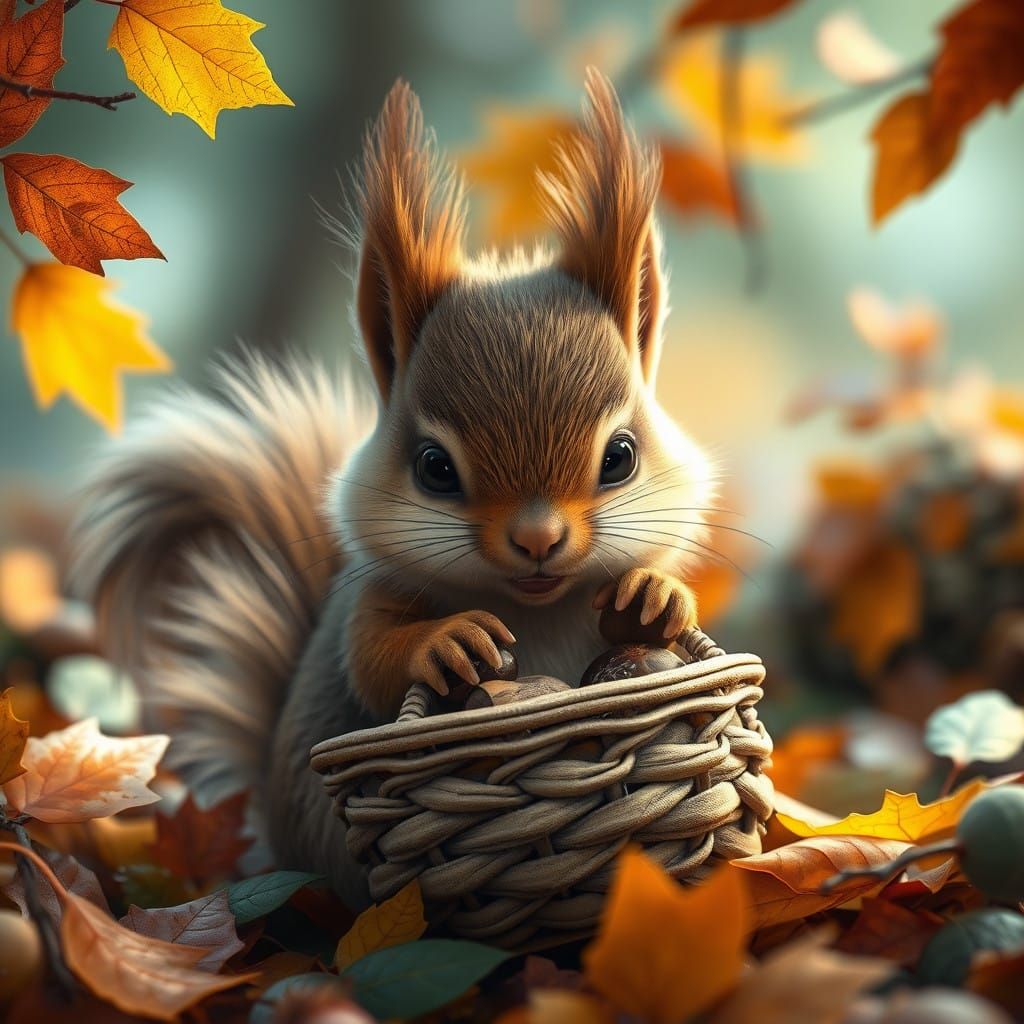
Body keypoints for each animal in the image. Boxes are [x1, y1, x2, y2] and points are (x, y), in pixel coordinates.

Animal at [69, 70, 714, 909]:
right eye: (435, 468)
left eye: (622, 458)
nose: (538, 540)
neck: (534, 605)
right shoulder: (372, 596)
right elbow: (371, 659)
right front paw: (448, 642)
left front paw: (655, 599)